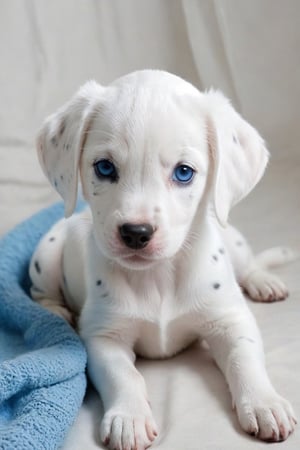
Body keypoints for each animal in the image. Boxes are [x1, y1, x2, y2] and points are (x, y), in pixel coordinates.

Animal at [29, 71, 296, 450]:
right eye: (105, 167)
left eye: (184, 172)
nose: (136, 233)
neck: (157, 277)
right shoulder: (103, 338)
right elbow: (124, 376)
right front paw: (128, 418)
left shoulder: (230, 322)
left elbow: (245, 360)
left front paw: (264, 403)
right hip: (48, 251)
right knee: (40, 292)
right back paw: (55, 312)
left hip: (233, 238)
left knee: (248, 263)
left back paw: (262, 280)